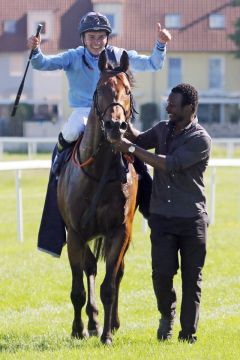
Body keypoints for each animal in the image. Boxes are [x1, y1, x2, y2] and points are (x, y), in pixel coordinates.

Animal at [57, 49, 138, 344]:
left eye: (127, 91)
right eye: (100, 88)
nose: (116, 125)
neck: (100, 170)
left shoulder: (119, 231)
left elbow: (109, 285)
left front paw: (107, 335)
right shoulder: (75, 233)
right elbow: (78, 287)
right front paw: (78, 328)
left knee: (116, 272)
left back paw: (109, 323)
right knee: (89, 266)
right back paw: (90, 322)